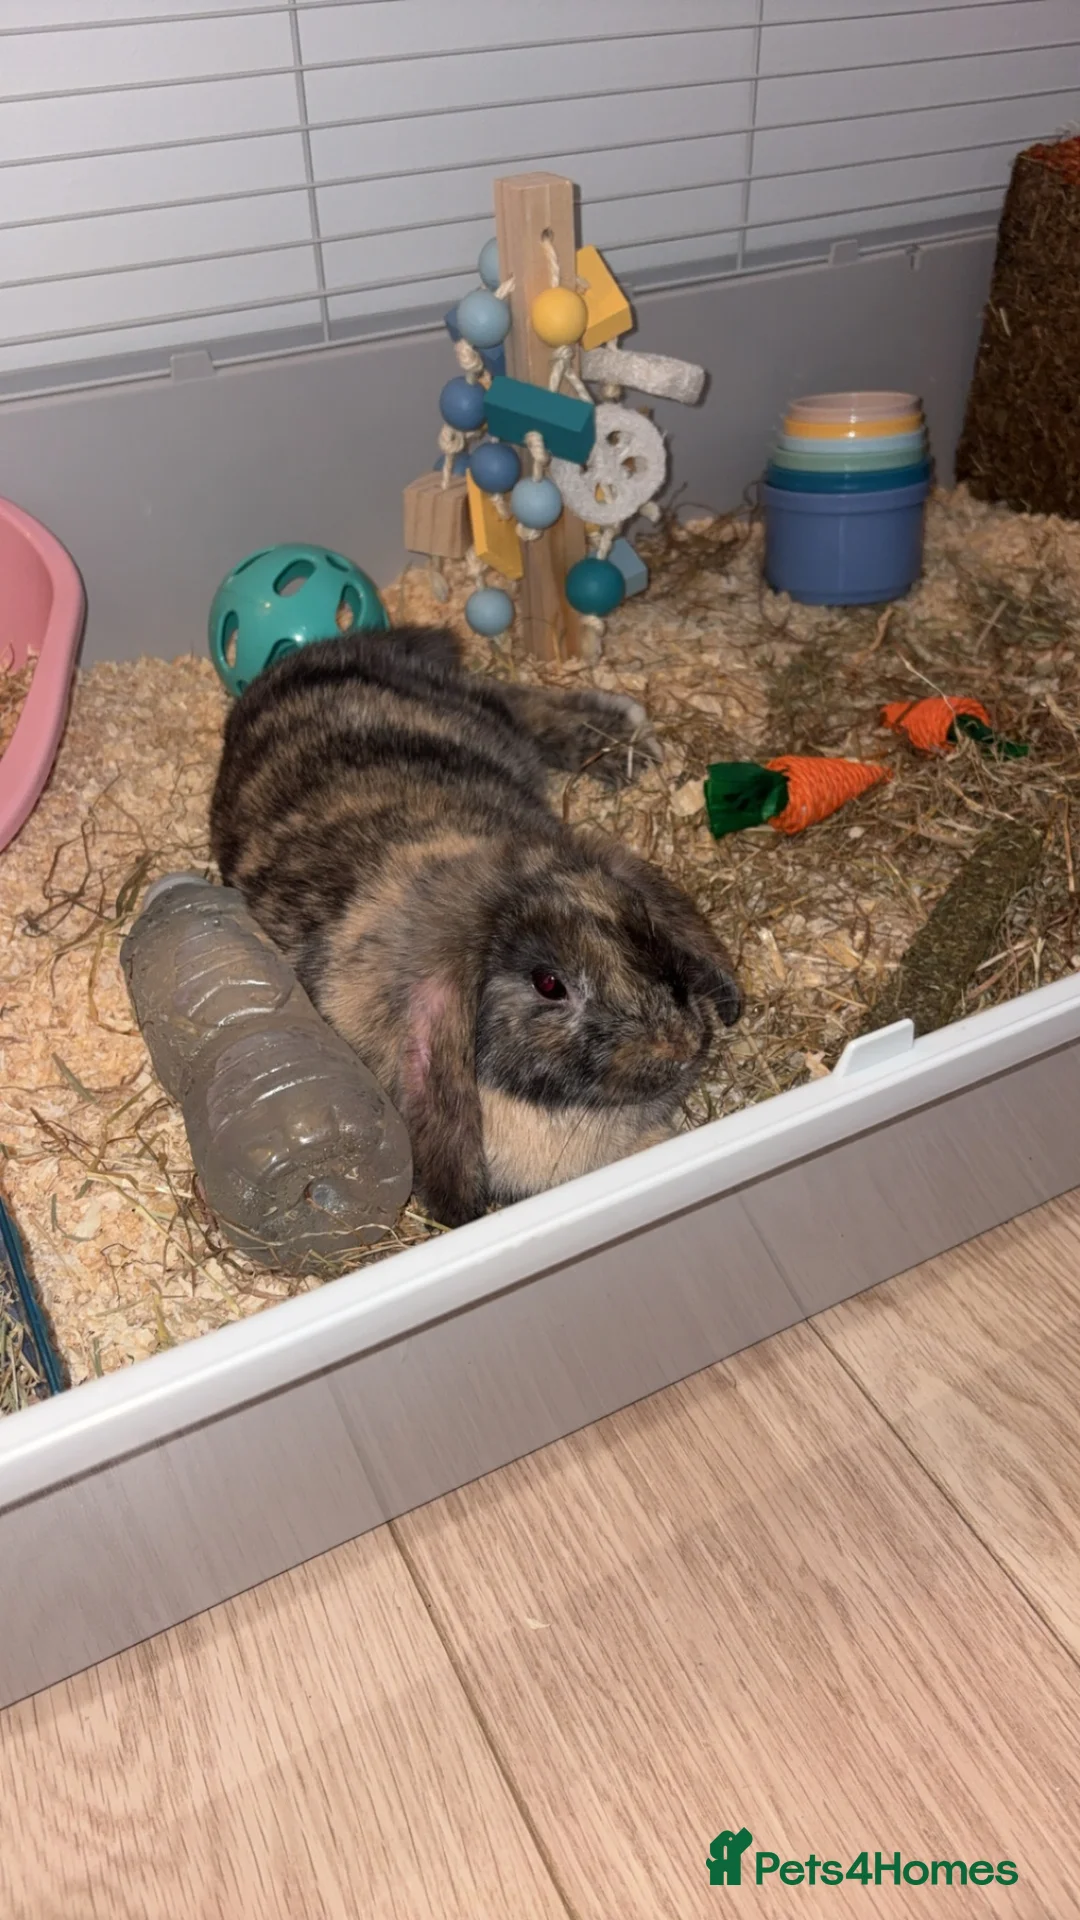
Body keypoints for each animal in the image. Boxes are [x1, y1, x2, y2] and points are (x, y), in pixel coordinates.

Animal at [210, 623, 741, 1227]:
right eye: (549, 984)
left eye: (641, 928)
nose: (679, 1046)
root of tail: (320, 655)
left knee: (520, 701)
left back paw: (625, 741)